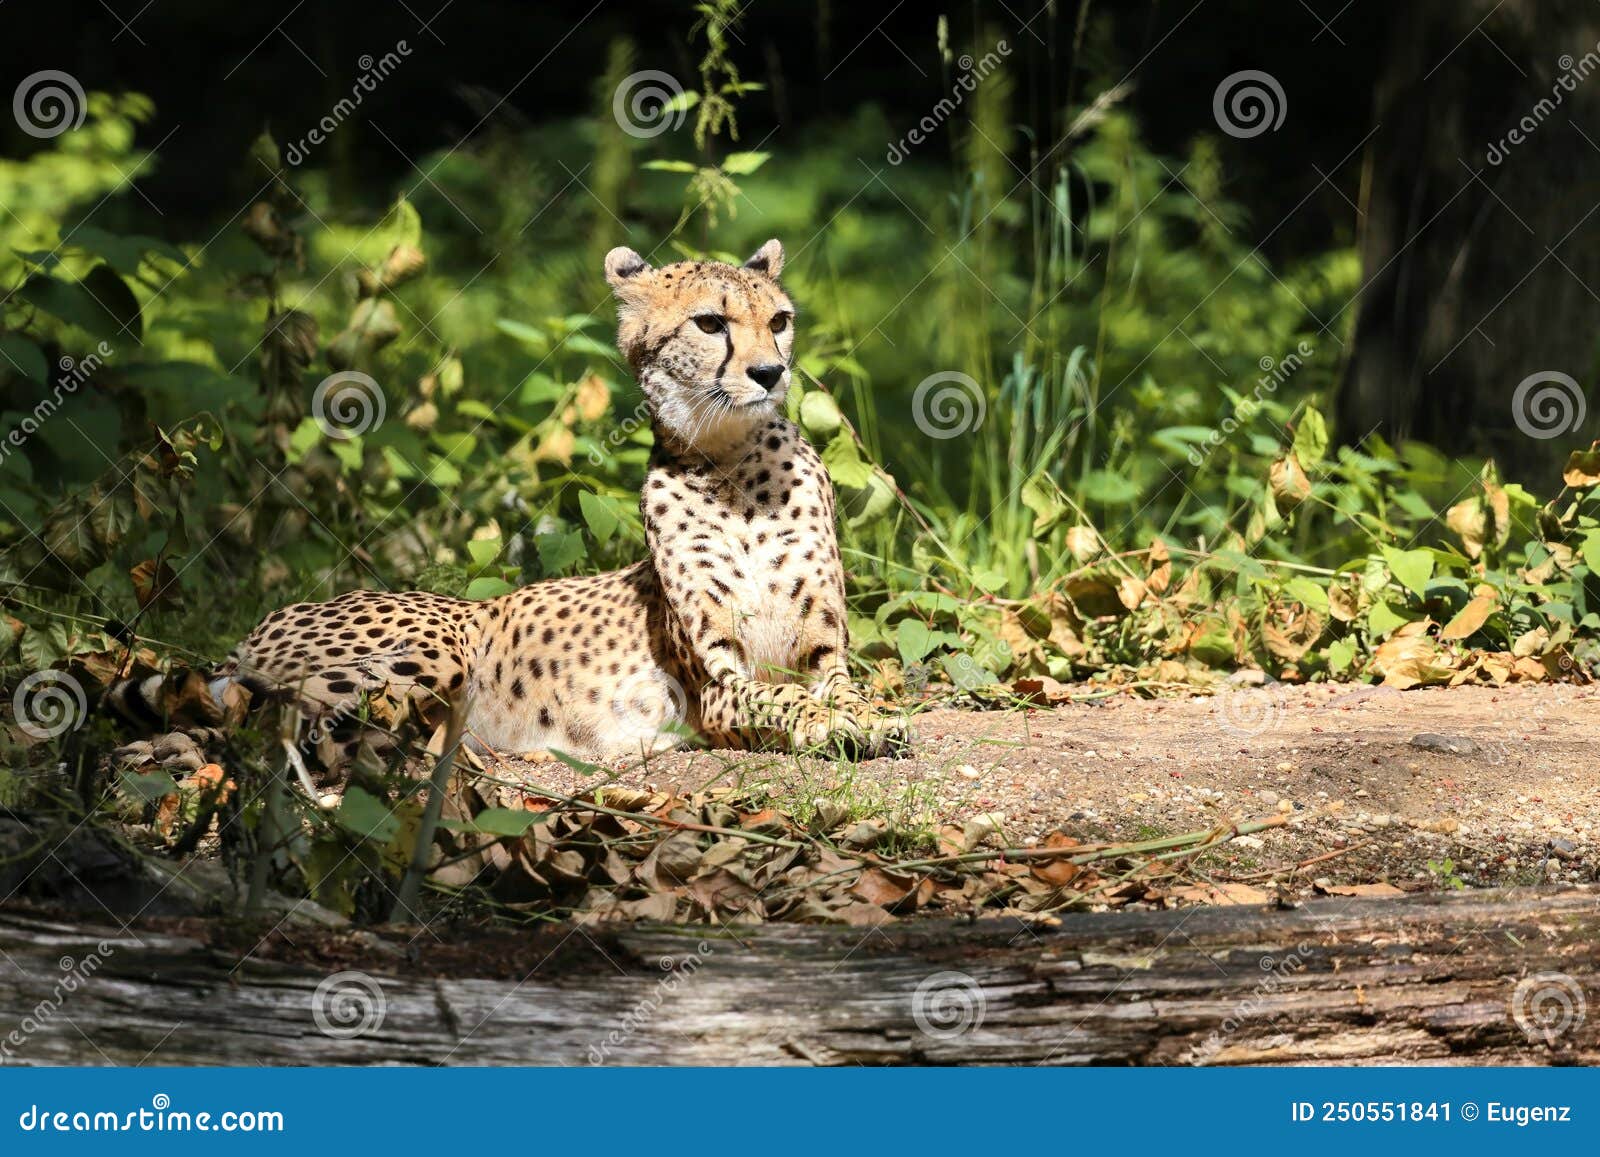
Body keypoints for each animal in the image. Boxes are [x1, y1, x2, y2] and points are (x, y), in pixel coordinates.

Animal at [111, 241, 908, 768]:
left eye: (779, 321)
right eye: (711, 324)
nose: (771, 372)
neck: (733, 469)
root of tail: (270, 618)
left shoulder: (824, 652)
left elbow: (842, 689)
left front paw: (865, 716)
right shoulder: (716, 680)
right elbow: (780, 700)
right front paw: (833, 723)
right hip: (426, 651)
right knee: (263, 721)